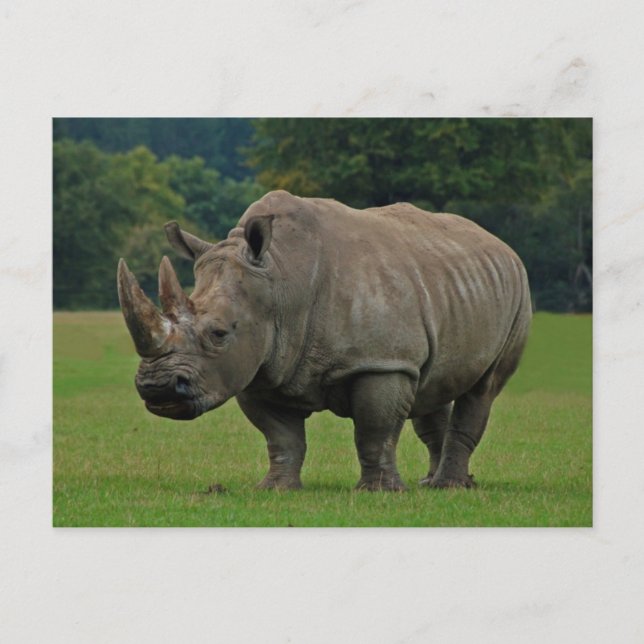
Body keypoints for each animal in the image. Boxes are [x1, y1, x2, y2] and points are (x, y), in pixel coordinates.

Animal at [118, 190, 531, 490]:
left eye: (218, 333)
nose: (157, 389)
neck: (281, 280)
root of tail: (499, 244)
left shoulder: (381, 362)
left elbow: (375, 430)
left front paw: (379, 492)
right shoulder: (258, 366)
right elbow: (281, 437)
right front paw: (274, 489)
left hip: (518, 291)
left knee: (483, 388)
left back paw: (449, 486)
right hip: (449, 283)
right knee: (433, 383)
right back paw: (431, 483)